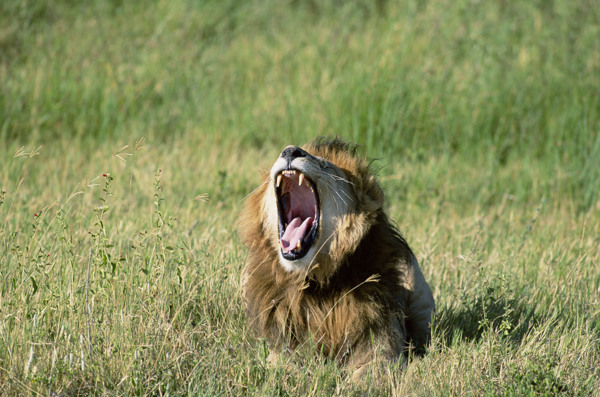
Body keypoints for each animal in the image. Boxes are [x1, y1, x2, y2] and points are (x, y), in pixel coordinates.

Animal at [240, 138, 436, 376]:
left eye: (325, 165)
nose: (289, 151)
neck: (317, 283)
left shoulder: (384, 345)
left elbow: (368, 374)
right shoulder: (281, 346)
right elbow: (281, 367)